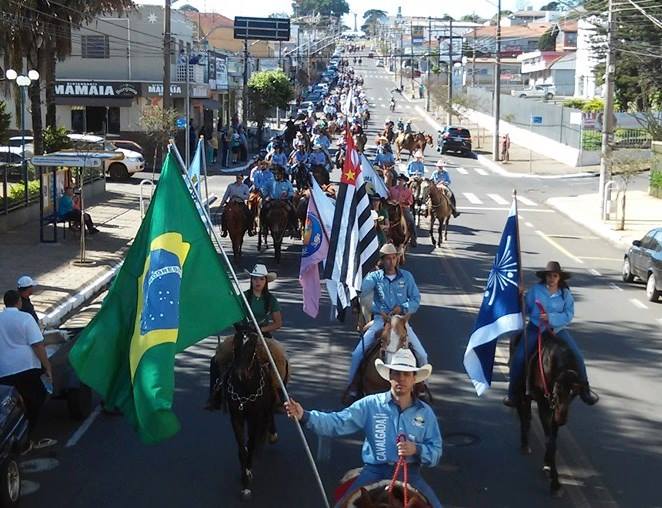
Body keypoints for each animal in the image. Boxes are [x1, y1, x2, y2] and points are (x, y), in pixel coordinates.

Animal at [223, 330, 278, 500]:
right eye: (235, 342)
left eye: (253, 344)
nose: (240, 374)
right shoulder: (236, 417)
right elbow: (242, 447)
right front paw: (245, 479)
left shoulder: (255, 417)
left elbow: (252, 444)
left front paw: (247, 477)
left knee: (270, 415)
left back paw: (272, 436)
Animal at [516, 330, 584, 496]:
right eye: (557, 390)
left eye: (574, 393)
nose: (562, 419)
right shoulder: (543, 405)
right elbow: (550, 441)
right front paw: (555, 484)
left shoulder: (554, 411)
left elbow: (553, 438)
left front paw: (547, 464)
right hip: (522, 392)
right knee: (523, 414)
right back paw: (524, 444)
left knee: (527, 416)